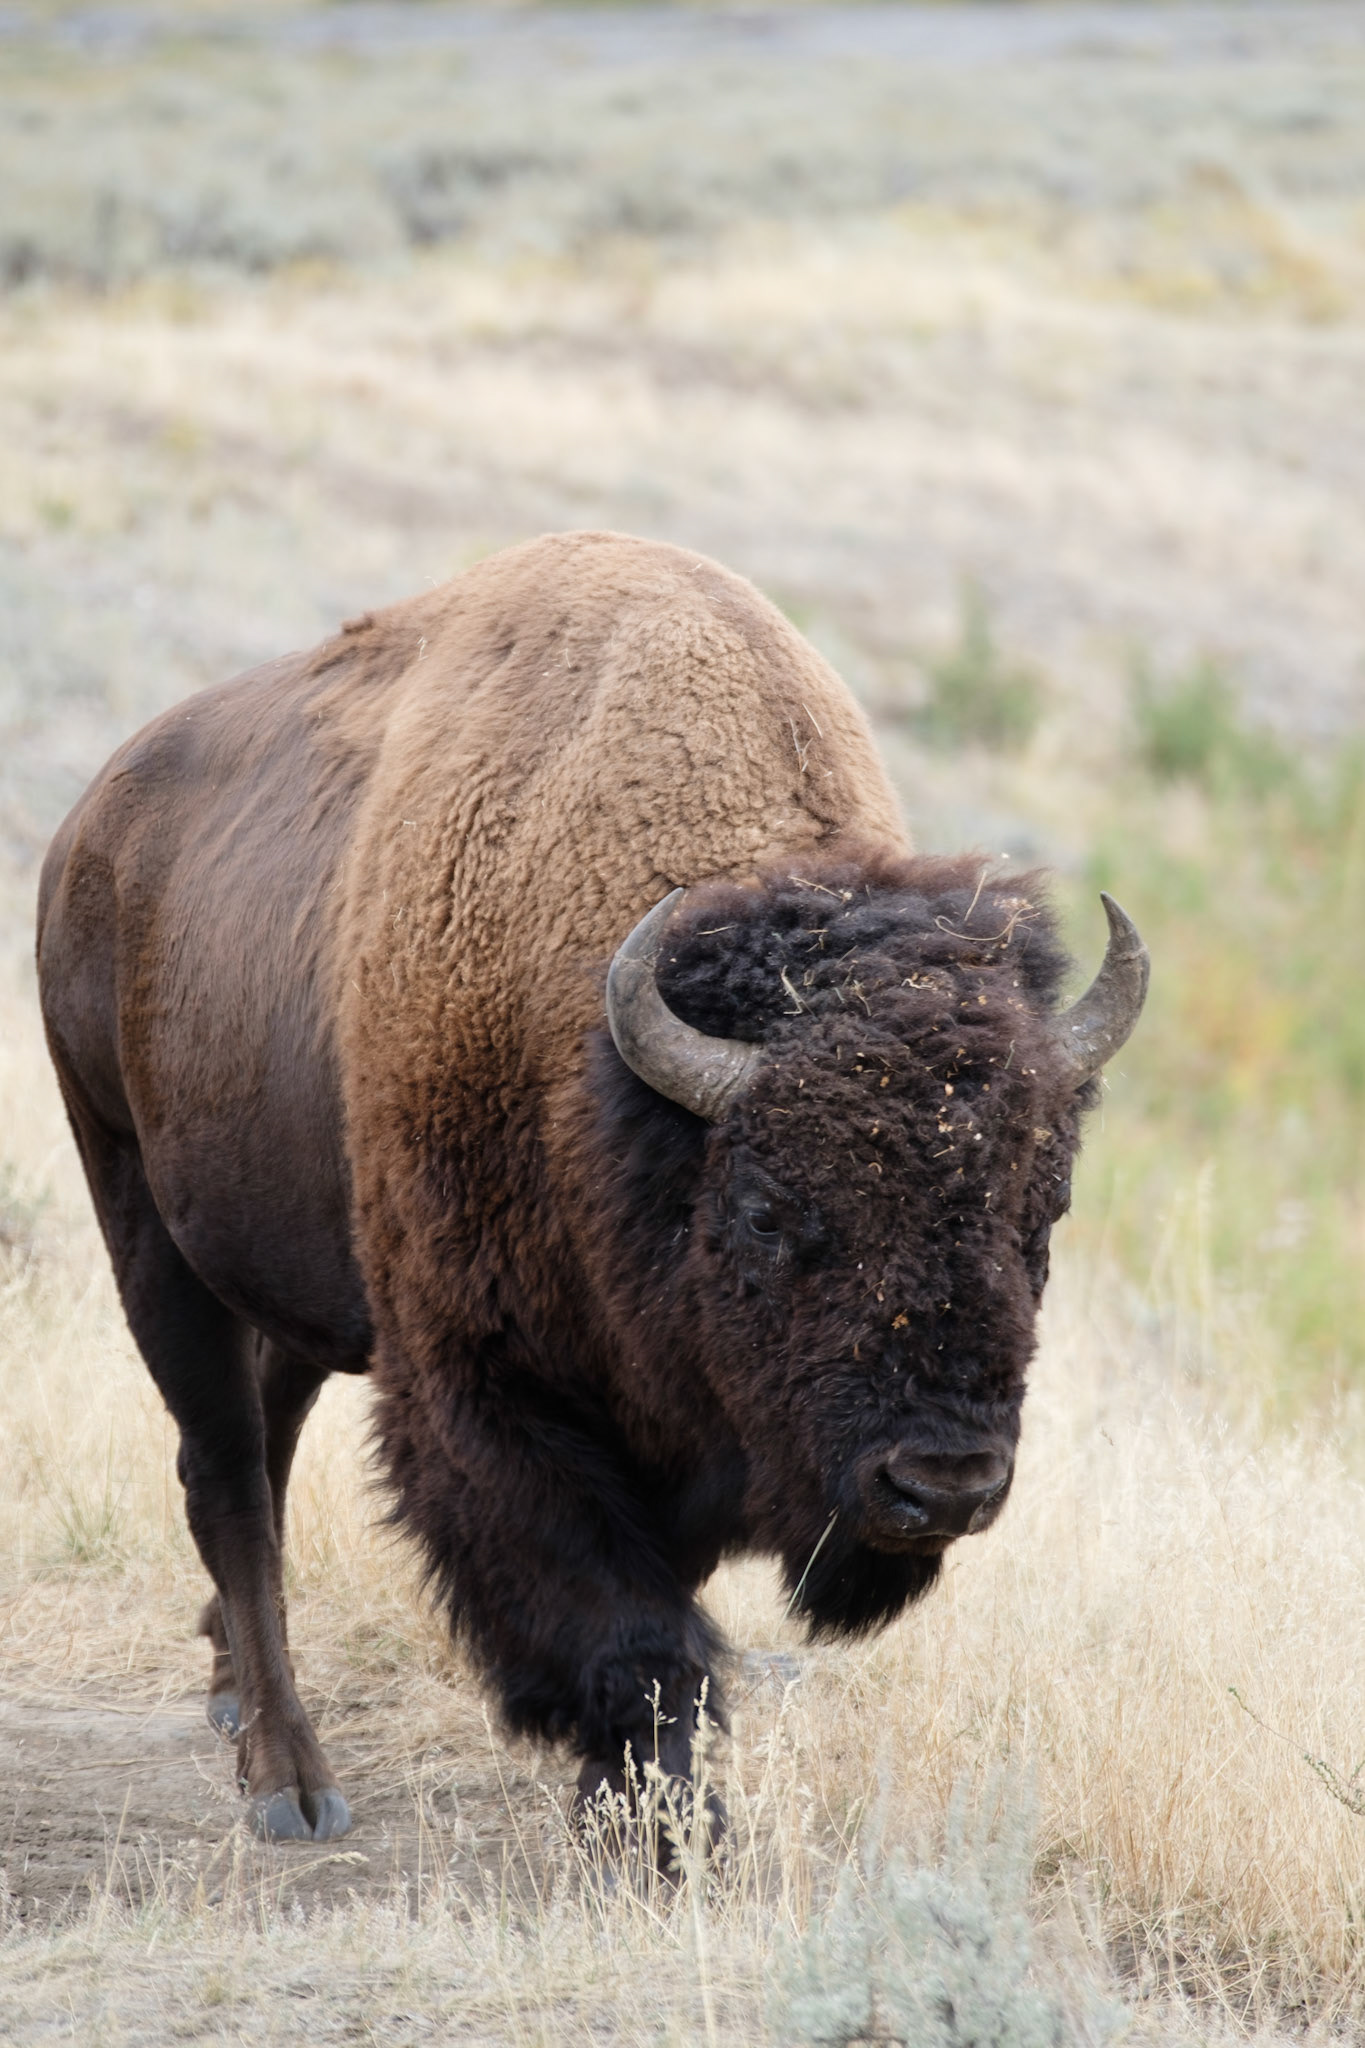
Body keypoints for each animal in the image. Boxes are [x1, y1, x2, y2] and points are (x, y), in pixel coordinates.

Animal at [36, 532, 1146, 1846]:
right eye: (769, 1210)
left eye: (1043, 1209)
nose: (941, 1480)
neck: (615, 1088)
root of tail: (88, 826)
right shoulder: (487, 1387)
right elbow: (628, 1626)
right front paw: (664, 1835)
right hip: (142, 1218)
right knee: (226, 1479)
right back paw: (288, 1780)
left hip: (293, 1280)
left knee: (267, 1438)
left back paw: (229, 1699)